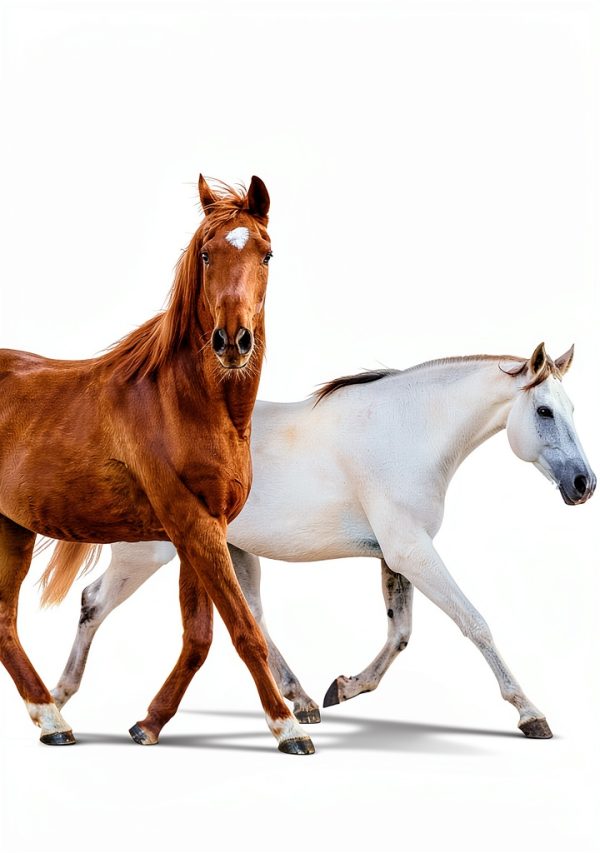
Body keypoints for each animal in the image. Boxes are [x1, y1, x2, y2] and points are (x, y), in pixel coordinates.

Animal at [0, 174, 314, 755]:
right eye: (207, 254)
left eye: (266, 254)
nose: (232, 341)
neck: (186, 403)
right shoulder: (192, 524)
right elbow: (243, 630)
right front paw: (288, 728)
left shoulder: (203, 528)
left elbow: (200, 637)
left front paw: (149, 723)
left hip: (13, 528)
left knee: (5, 623)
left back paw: (52, 719)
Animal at [47, 343, 595, 739]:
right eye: (544, 411)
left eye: (571, 407)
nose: (584, 484)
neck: (406, 433)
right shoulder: (412, 552)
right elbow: (474, 623)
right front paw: (530, 713)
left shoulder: (396, 556)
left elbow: (400, 633)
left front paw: (346, 688)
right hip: (146, 553)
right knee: (93, 602)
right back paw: (58, 703)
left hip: (232, 552)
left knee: (252, 619)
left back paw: (304, 702)